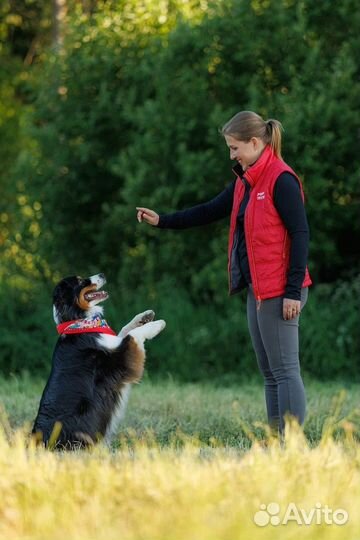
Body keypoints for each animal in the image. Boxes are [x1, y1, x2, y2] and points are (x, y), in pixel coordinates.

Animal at [31, 272, 165, 450]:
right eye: (80, 281)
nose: (102, 274)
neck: (79, 322)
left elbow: (125, 329)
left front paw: (145, 316)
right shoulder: (119, 360)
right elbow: (133, 335)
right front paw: (156, 325)